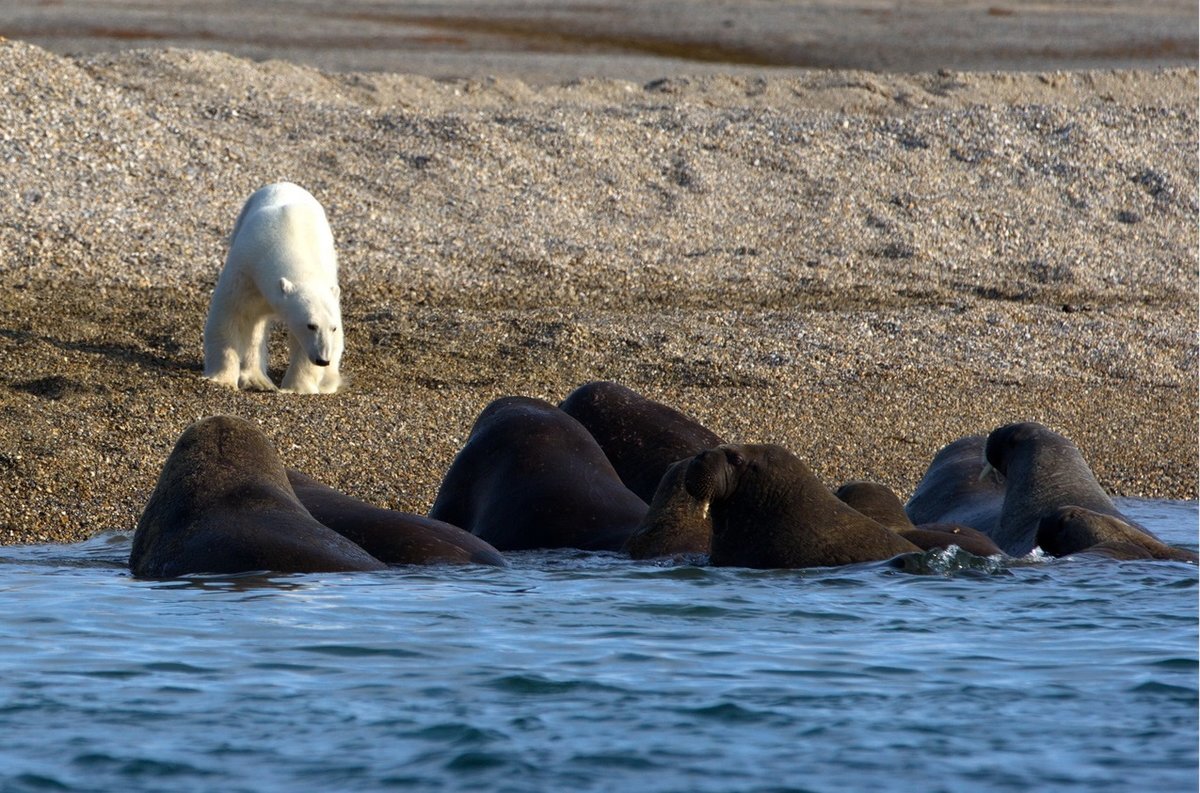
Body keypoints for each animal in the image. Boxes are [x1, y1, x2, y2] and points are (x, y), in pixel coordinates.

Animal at [201, 181, 343, 393]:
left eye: (332, 327)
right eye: (311, 325)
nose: (322, 359)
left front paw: (297, 388)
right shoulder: (247, 269)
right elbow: (231, 315)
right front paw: (222, 380)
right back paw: (257, 379)